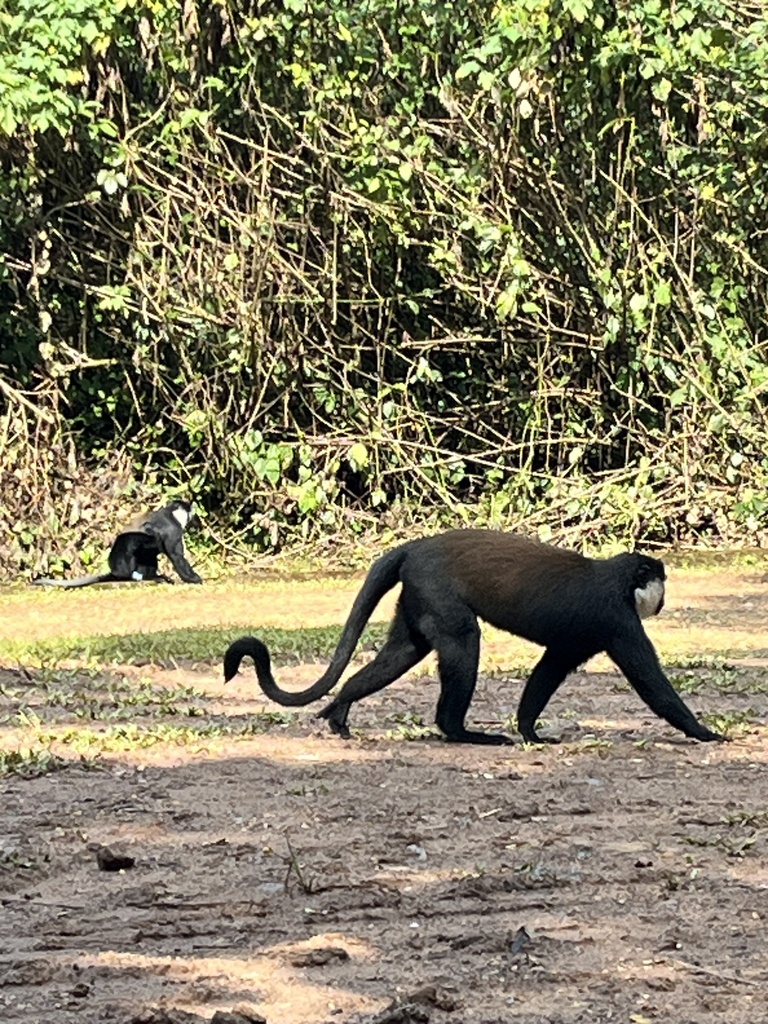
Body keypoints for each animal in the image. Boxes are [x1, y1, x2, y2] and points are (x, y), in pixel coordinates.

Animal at [31, 499, 202, 588]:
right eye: (188, 511)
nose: (192, 515)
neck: (171, 514)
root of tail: (114, 571)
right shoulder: (174, 530)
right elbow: (176, 555)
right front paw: (193, 579)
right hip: (121, 560)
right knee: (132, 541)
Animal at [224, 529, 726, 745]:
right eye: (659, 580)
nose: (663, 598)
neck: (618, 580)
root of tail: (414, 548)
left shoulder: (578, 640)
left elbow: (548, 671)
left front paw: (529, 731)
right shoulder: (619, 621)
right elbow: (651, 682)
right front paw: (704, 732)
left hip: (418, 600)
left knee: (404, 651)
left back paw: (343, 704)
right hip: (437, 592)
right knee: (464, 640)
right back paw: (459, 731)